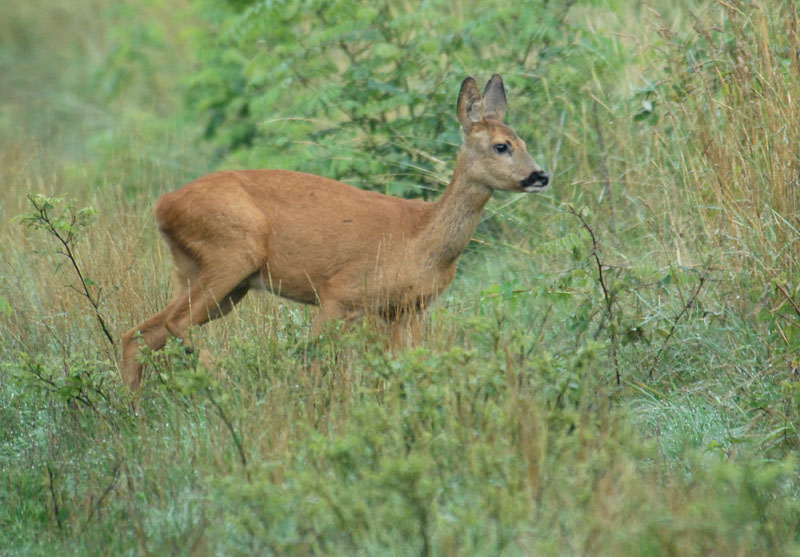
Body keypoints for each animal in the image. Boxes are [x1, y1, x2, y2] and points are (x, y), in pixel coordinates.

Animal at [120, 74, 552, 388]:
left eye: (524, 141)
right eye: (501, 146)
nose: (540, 175)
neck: (423, 238)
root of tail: (161, 206)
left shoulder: (406, 309)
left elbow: (410, 364)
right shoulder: (338, 292)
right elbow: (310, 363)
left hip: (214, 278)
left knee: (139, 334)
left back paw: (132, 413)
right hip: (230, 255)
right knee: (169, 325)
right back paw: (217, 369)